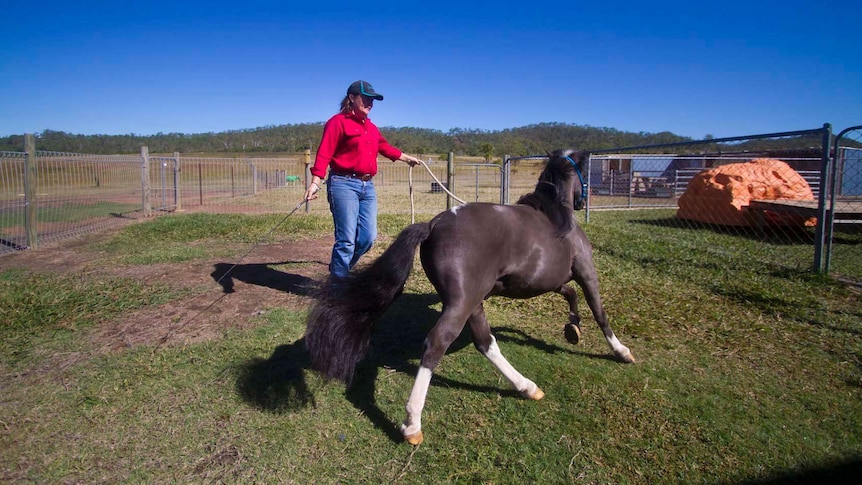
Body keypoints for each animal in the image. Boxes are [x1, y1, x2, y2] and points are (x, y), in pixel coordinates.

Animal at [304, 149, 636, 444]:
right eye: (584, 172)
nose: (582, 201)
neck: (556, 216)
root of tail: (434, 224)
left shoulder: (551, 281)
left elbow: (570, 295)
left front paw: (572, 329)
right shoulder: (586, 272)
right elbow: (598, 310)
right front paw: (621, 351)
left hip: (473, 302)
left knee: (485, 342)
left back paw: (527, 387)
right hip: (462, 304)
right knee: (438, 344)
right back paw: (412, 425)